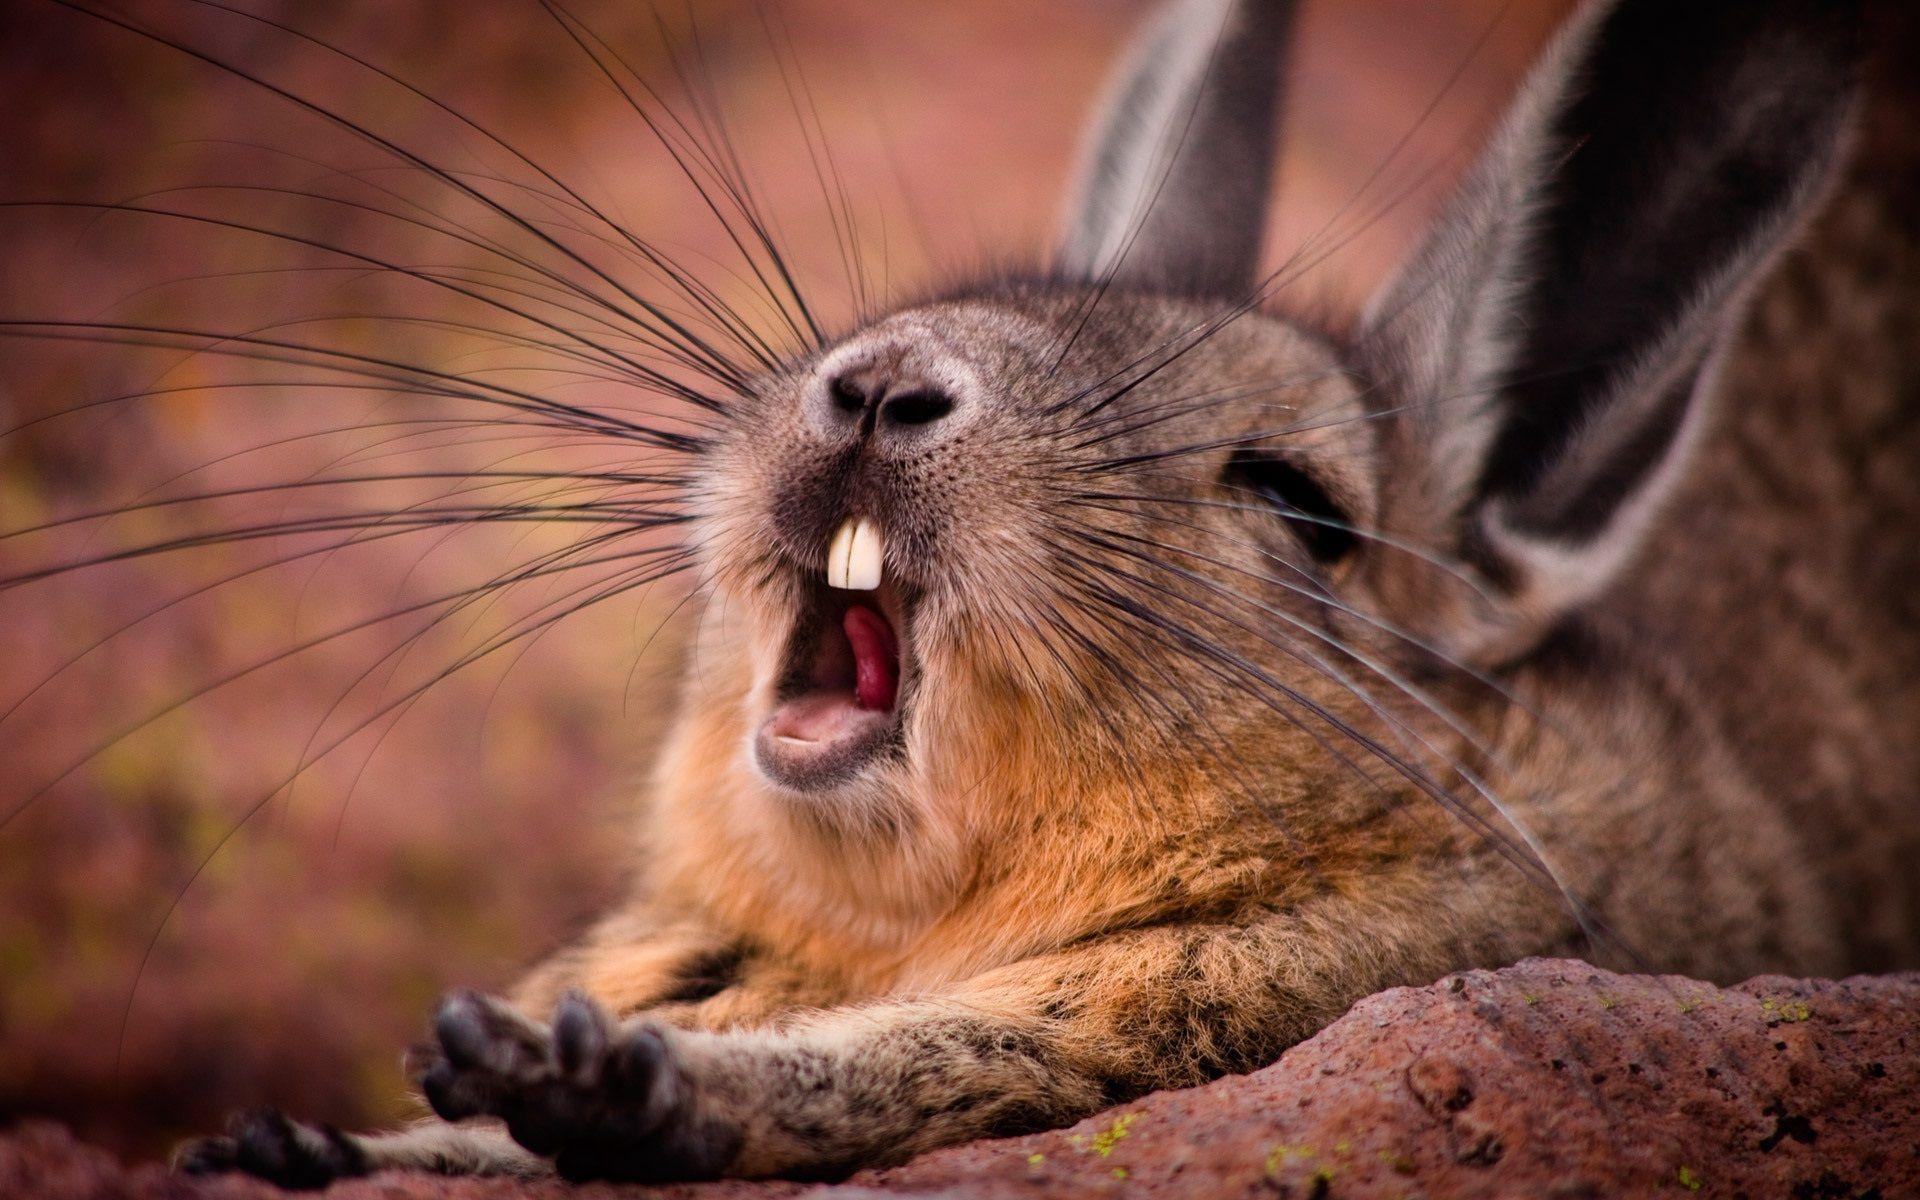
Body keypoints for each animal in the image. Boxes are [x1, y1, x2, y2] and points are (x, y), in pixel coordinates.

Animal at [172, 0, 1919, 1186]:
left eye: (1300, 504)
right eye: (946, 297)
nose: (880, 386)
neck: (882, 923)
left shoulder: (1243, 993)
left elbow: (902, 1065)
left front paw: (555, 1077)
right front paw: (302, 1136)